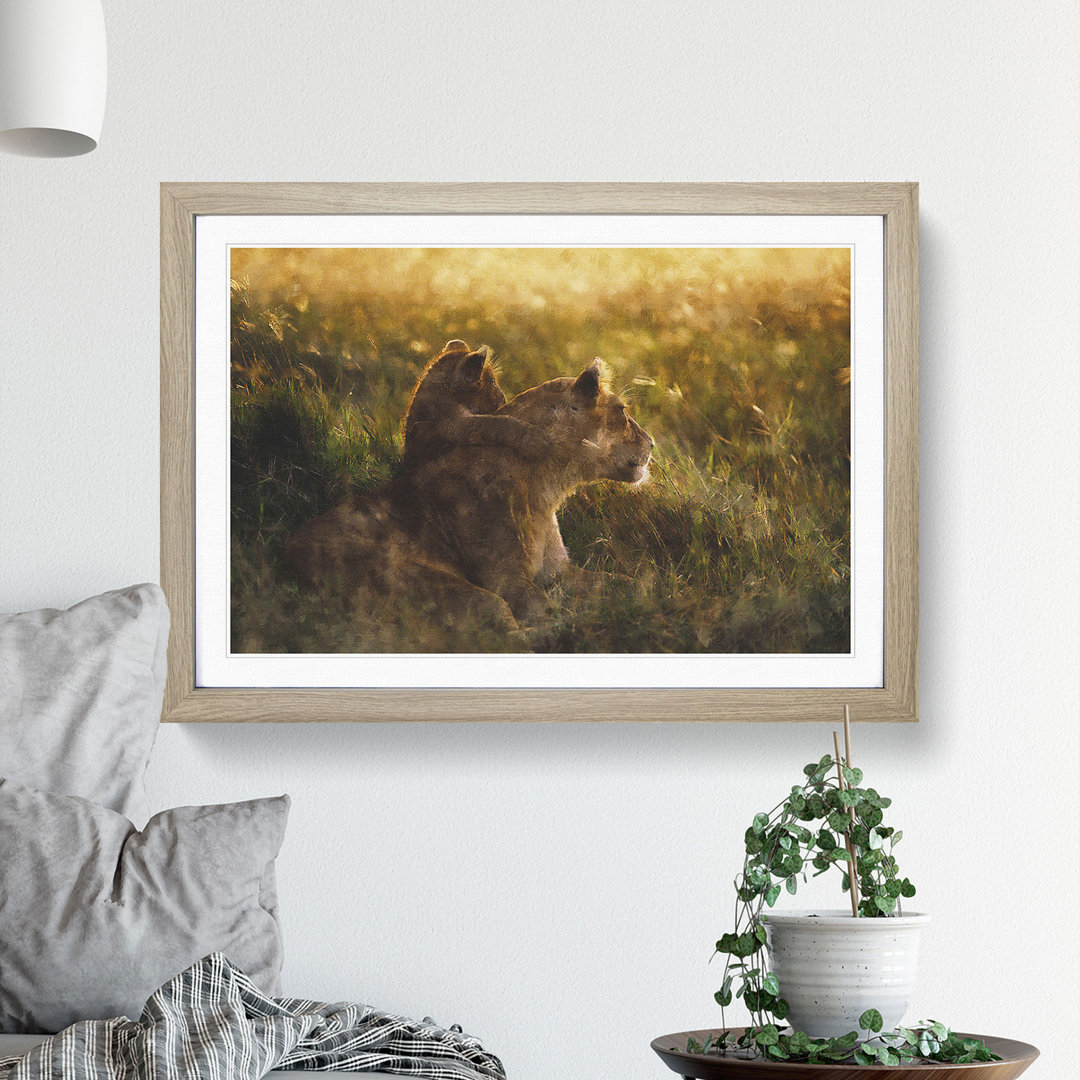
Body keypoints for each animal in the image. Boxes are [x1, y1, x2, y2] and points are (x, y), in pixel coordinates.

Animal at [285, 358, 653, 633]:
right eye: (622, 411)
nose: (651, 444)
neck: (548, 485)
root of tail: (283, 560)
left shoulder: (558, 572)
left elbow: (630, 583)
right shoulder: (508, 582)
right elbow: (552, 610)